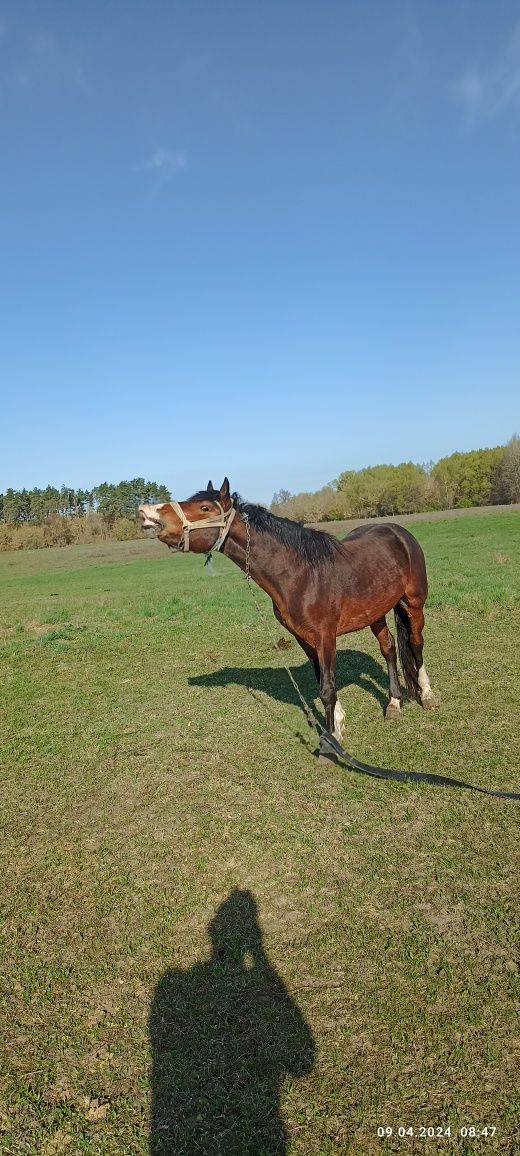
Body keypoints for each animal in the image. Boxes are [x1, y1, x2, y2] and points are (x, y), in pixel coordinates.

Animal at [138, 478, 434, 739]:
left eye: (204, 508)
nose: (149, 513)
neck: (299, 575)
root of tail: (398, 531)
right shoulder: (303, 637)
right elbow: (322, 679)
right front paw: (338, 723)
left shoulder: (325, 636)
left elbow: (327, 687)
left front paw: (331, 742)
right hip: (375, 612)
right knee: (389, 648)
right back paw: (394, 704)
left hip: (413, 604)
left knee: (415, 643)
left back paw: (428, 696)